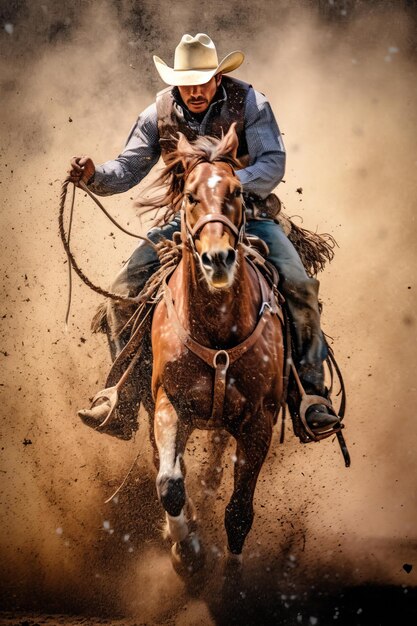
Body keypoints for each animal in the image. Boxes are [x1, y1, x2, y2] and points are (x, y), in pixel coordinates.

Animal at [142, 123, 282, 572]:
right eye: (190, 195)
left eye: (237, 191)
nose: (217, 258)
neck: (217, 332)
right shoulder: (171, 403)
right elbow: (169, 482)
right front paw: (185, 549)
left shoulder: (259, 422)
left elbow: (239, 511)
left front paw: (231, 574)